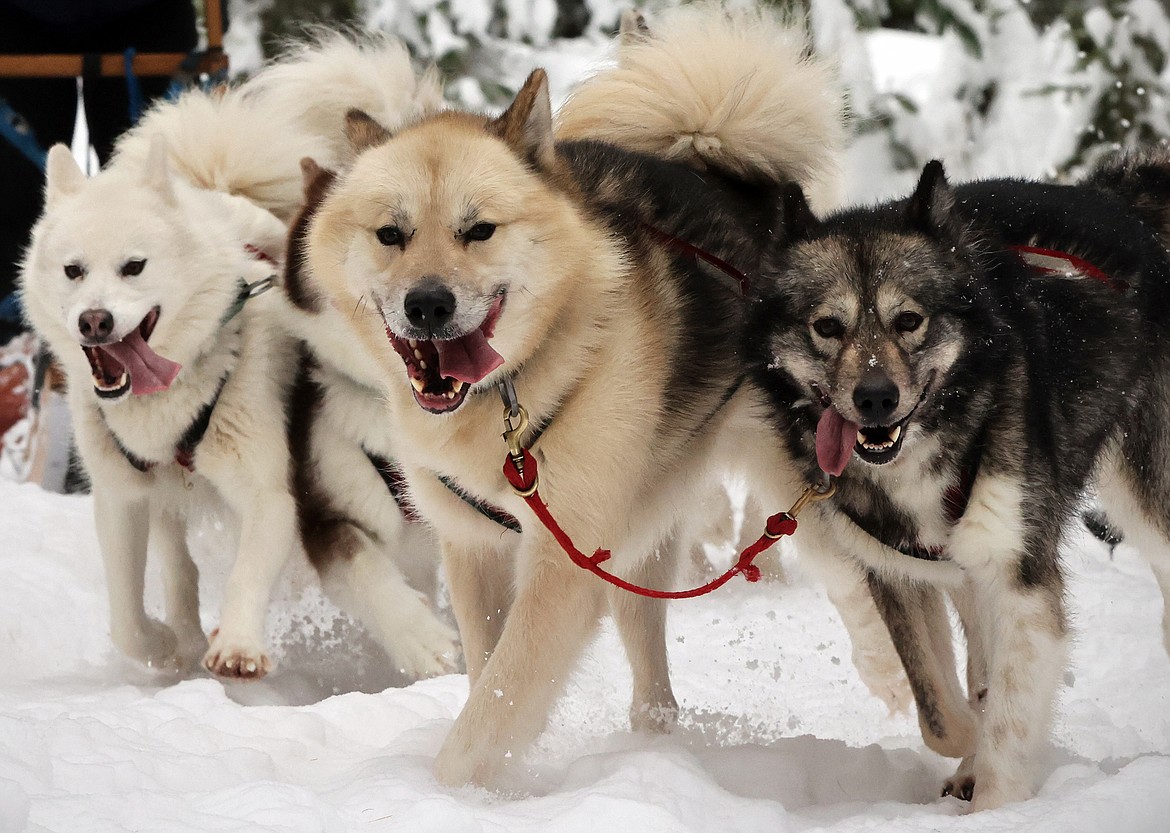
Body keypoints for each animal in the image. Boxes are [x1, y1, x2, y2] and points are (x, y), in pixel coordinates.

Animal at [744, 147, 1170, 804]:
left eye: (909, 320)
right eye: (828, 327)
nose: (875, 398)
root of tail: (1128, 197)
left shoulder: (1019, 575)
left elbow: (1008, 712)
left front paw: (996, 802)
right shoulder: (898, 570)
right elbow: (941, 711)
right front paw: (969, 744)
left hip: (1145, 493)